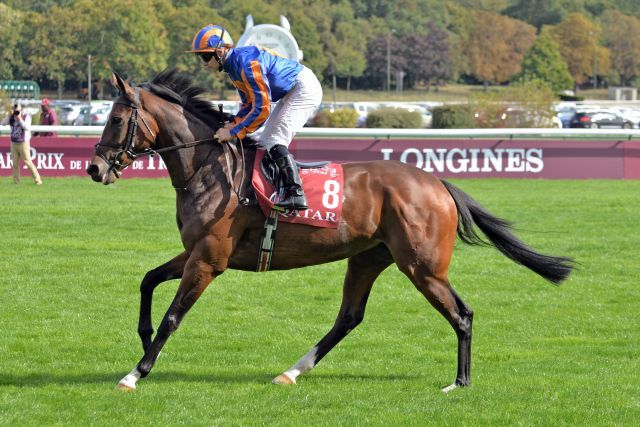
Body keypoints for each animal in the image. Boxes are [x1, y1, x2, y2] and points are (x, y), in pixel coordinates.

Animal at [87, 70, 572, 394]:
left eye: (116, 119)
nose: (94, 168)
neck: (208, 168)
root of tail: (437, 183)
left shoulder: (209, 258)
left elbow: (174, 315)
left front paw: (135, 373)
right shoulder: (195, 252)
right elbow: (148, 280)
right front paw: (144, 336)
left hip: (423, 266)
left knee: (461, 313)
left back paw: (460, 381)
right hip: (368, 257)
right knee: (349, 317)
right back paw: (292, 370)